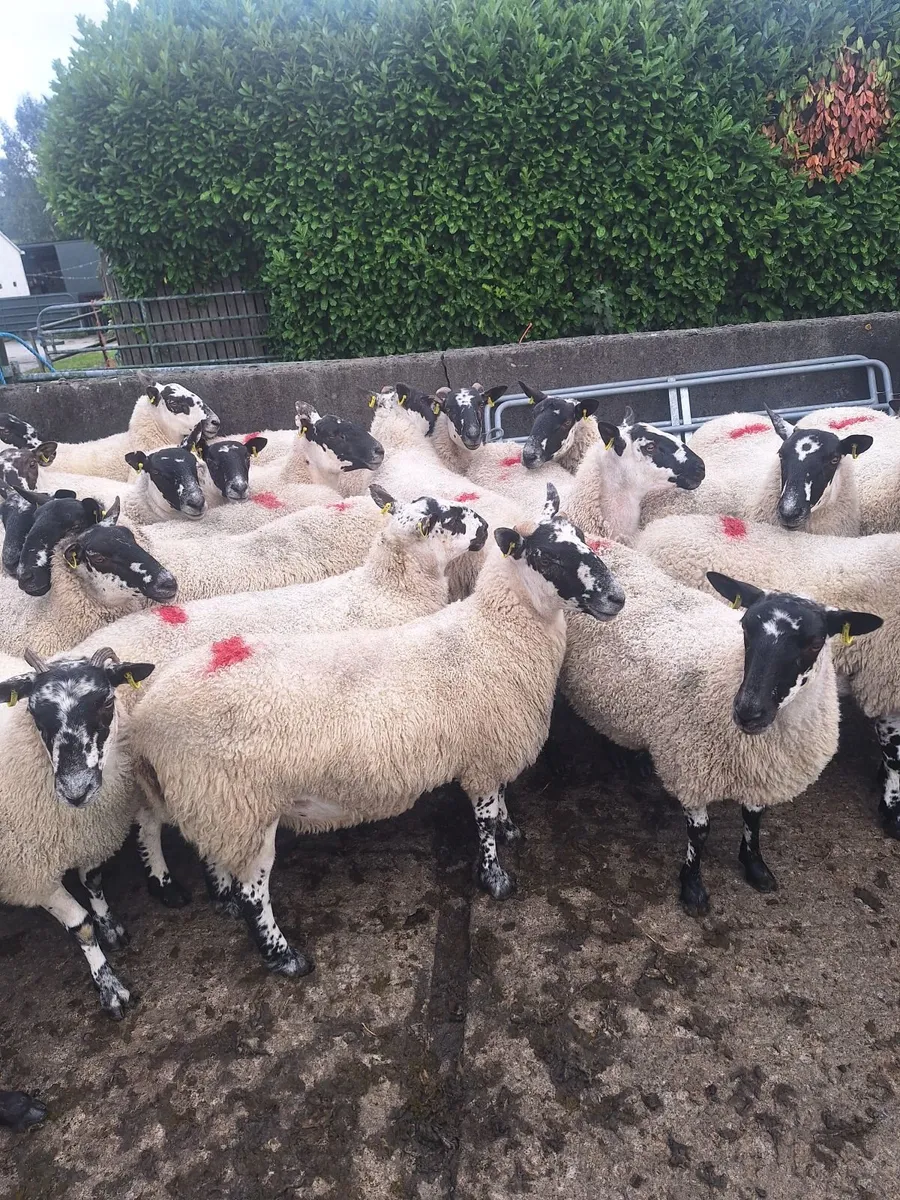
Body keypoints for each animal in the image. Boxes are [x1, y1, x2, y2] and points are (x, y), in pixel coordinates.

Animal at [0, 646, 156, 1017]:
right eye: (33, 711)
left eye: (108, 701)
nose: (76, 790)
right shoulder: (30, 875)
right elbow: (80, 927)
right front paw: (110, 987)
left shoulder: (93, 839)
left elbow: (94, 882)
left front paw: (110, 927)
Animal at [129, 486, 625, 976]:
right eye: (548, 557)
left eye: (583, 538)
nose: (617, 598)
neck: (495, 632)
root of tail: (147, 717)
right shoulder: (484, 752)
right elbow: (483, 821)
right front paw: (495, 877)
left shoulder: (492, 747)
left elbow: (501, 800)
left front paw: (509, 830)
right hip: (242, 809)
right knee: (253, 891)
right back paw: (283, 956)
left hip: (211, 804)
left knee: (208, 852)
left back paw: (224, 901)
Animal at [560, 539, 882, 914]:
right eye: (745, 627)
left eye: (815, 643)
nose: (748, 712)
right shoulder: (691, 766)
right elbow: (700, 833)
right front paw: (693, 888)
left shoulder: (760, 773)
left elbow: (754, 819)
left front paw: (755, 866)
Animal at [637, 510, 900, 836]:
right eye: (743, 626)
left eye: (816, 643)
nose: (750, 712)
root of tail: (660, 526)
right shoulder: (886, 684)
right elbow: (895, 756)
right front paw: (892, 813)